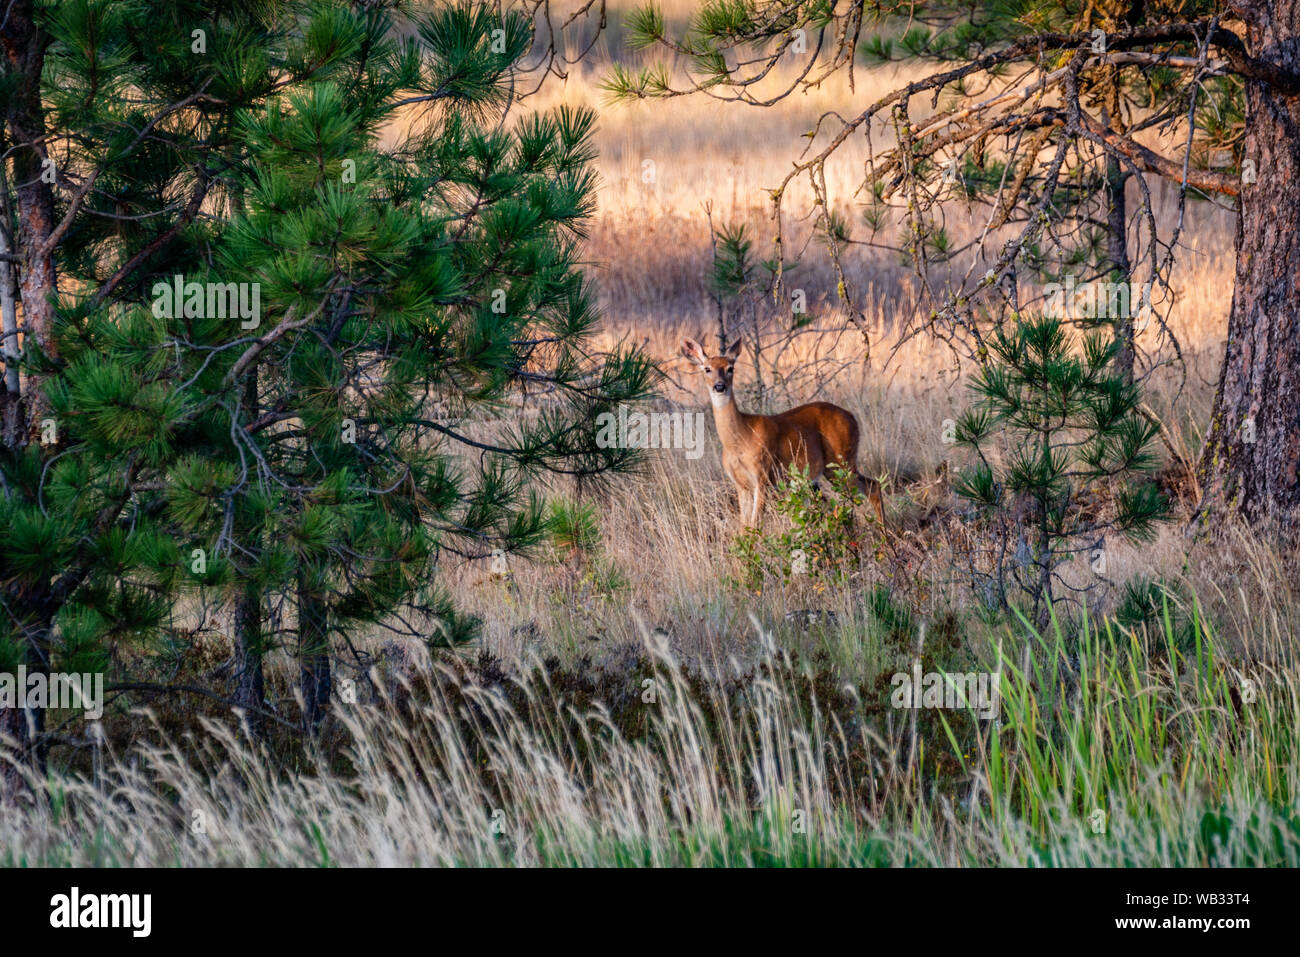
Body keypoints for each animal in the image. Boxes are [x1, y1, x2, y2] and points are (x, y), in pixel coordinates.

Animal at [680, 337, 885, 529]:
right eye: (707, 369)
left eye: (730, 368)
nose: (719, 386)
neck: (739, 439)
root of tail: (853, 418)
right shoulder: (741, 485)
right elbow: (744, 528)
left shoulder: (762, 476)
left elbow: (755, 526)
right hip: (830, 469)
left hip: (842, 461)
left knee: (873, 487)